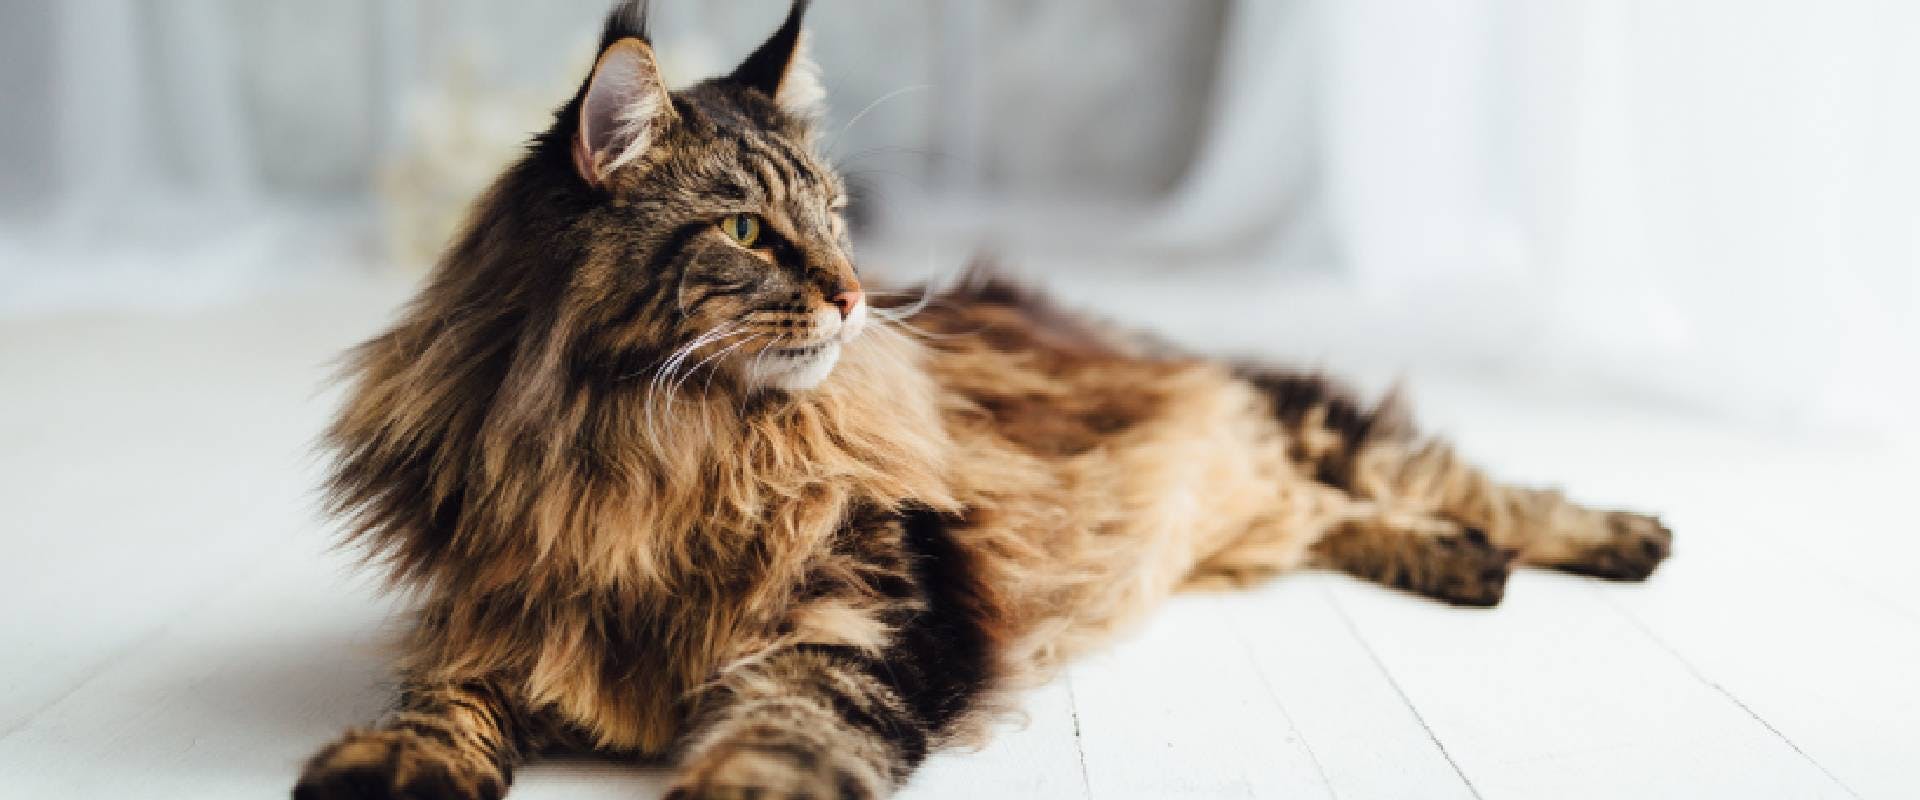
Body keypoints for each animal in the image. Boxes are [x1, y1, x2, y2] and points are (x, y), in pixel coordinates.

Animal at [291, 3, 1674, 794]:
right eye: (748, 231)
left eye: (835, 217)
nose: (856, 294)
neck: (648, 449)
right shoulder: (507, 609)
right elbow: (442, 700)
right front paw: (389, 764)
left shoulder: (877, 611)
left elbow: (789, 730)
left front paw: (744, 785)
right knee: (1335, 518)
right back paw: (1462, 563)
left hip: (1300, 416)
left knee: (1461, 480)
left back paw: (1614, 536)